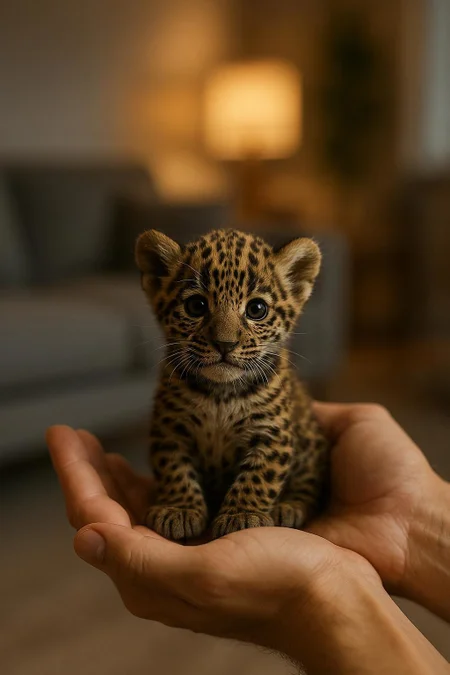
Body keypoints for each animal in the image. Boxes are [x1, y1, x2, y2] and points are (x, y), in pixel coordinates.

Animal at [135, 227, 330, 540]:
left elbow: (259, 477)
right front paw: (180, 509)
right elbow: (174, 469)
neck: (221, 394)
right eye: (196, 306)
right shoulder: (170, 428)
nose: (224, 344)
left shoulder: (271, 432)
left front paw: (242, 514)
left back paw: (289, 507)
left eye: (257, 309)